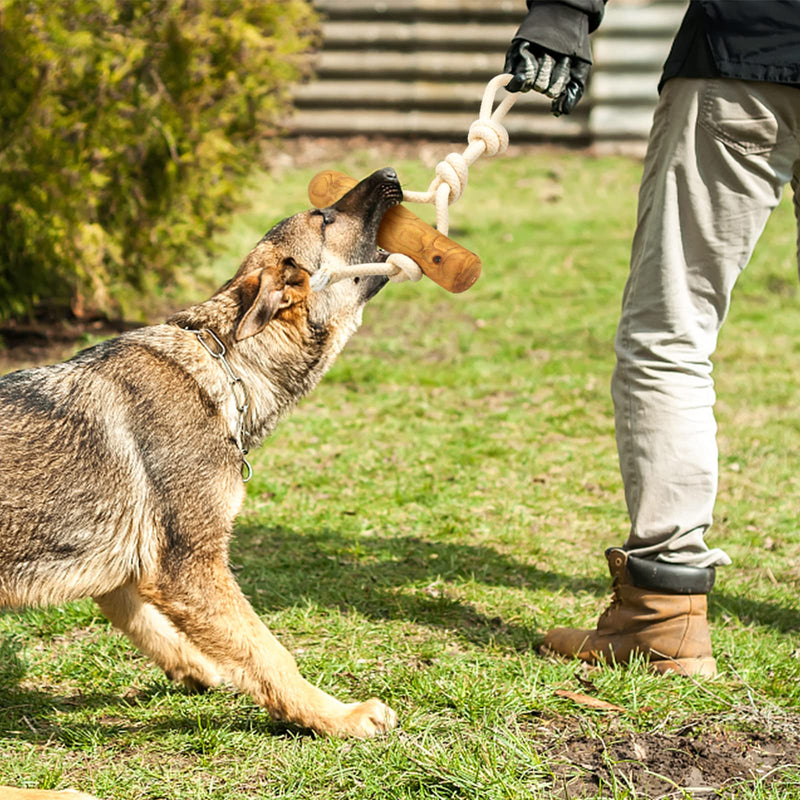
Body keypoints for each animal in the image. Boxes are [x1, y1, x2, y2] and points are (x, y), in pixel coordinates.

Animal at [0, 167, 404, 792]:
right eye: (325, 218)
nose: (391, 174)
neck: (225, 364)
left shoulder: (129, 570)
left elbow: (156, 628)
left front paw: (203, 669)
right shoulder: (190, 567)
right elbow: (271, 653)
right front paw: (335, 717)